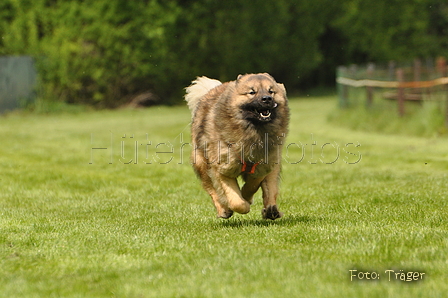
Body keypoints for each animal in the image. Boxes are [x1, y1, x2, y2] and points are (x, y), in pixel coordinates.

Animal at [186, 73, 290, 220]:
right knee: (212, 190)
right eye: (252, 92)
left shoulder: (263, 166)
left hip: (274, 164)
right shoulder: (223, 169)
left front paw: (247, 197)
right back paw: (224, 210)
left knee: (270, 190)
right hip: (201, 164)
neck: (253, 131)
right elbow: (236, 201)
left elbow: (253, 185)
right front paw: (241, 203)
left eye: (271, 91)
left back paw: (271, 210)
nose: (267, 99)